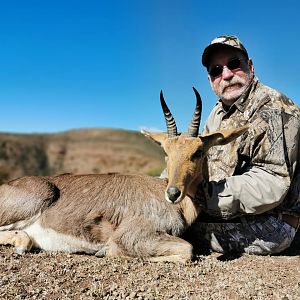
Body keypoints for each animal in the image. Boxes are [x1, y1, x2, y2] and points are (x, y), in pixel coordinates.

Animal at [0, 88, 247, 262]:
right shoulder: (132, 234)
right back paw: (22, 242)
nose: (173, 193)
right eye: (165, 151)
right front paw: (106, 251)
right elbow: (188, 250)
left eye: (198, 151)